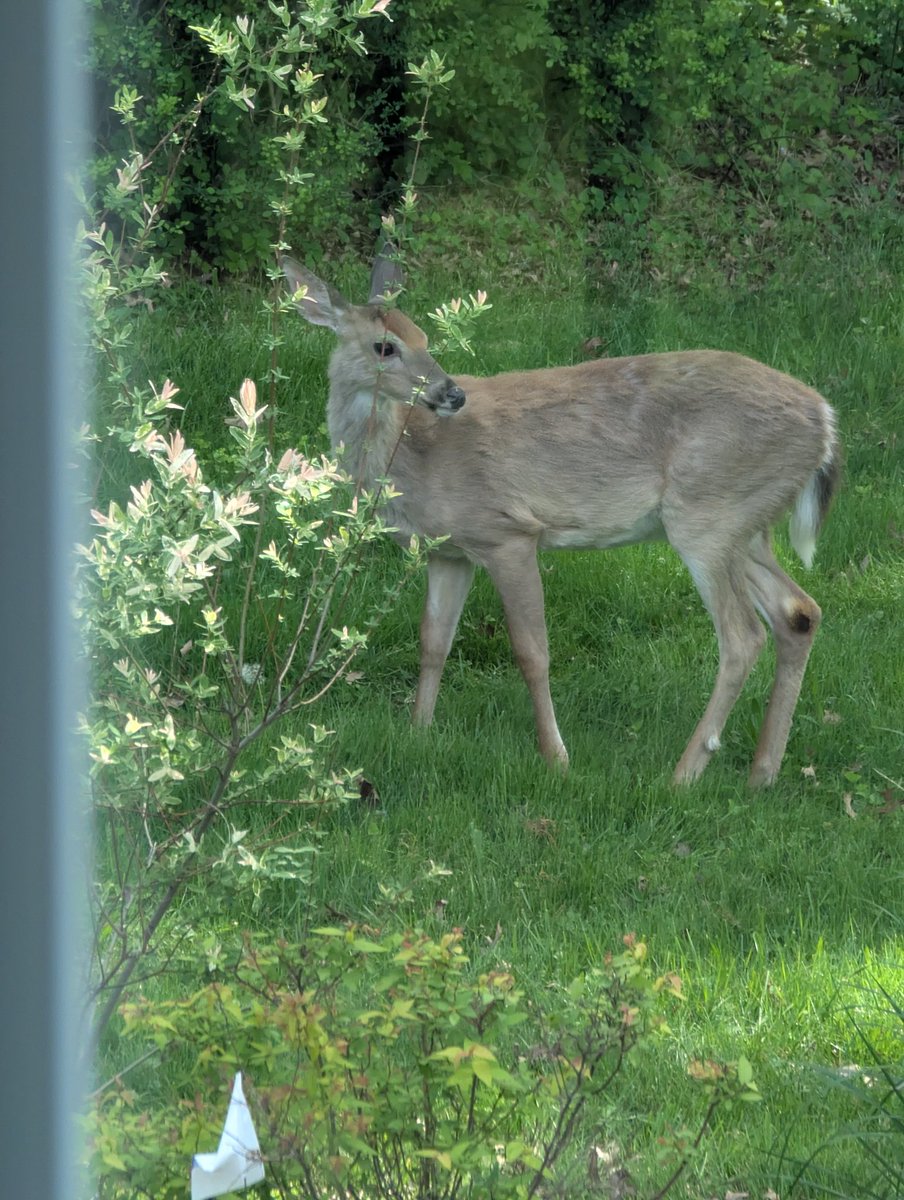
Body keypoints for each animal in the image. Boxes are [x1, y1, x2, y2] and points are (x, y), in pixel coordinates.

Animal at [281, 253, 840, 787]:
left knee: (743, 636)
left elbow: (532, 653)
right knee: (799, 612)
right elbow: (433, 641)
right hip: (747, 524)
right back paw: (762, 774)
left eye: (424, 337)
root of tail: (826, 421)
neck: (413, 458)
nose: (452, 393)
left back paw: (684, 774)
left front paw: (557, 759)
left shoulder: (507, 531)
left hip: (708, 514)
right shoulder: (450, 550)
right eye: (386, 346)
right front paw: (418, 731)